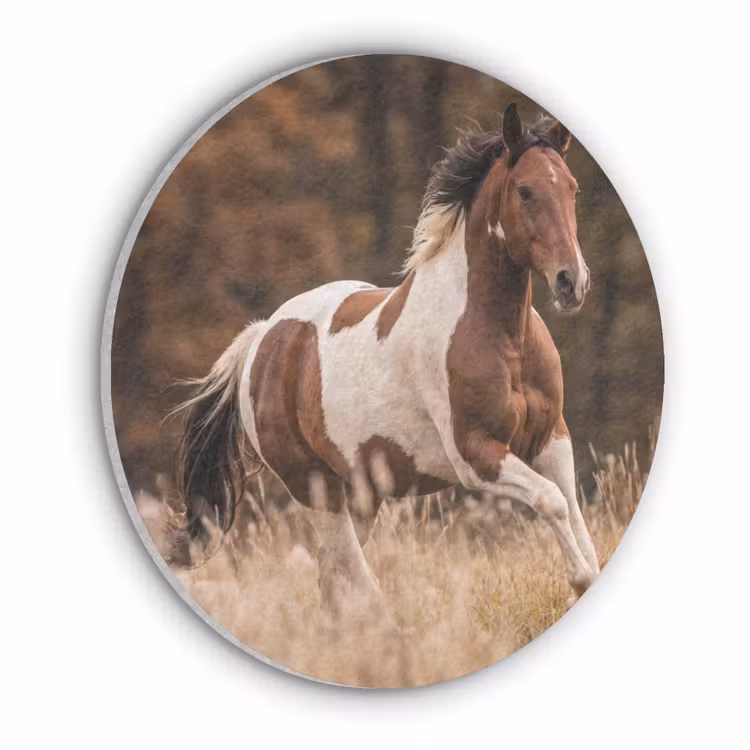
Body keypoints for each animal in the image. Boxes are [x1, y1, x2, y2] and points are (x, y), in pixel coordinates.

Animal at [173, 103, 600, 616]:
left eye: (572, 188)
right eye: (526, 191)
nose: (571, 282)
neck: (502, 338)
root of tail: (263, 338)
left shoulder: (551, 438)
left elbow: (572, 509)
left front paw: (588, 575)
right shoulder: (475, 455)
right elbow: (552, 501)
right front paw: (578, 580)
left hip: (361, 494)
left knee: (334, 584)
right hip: (316, 488)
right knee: (352, 581)